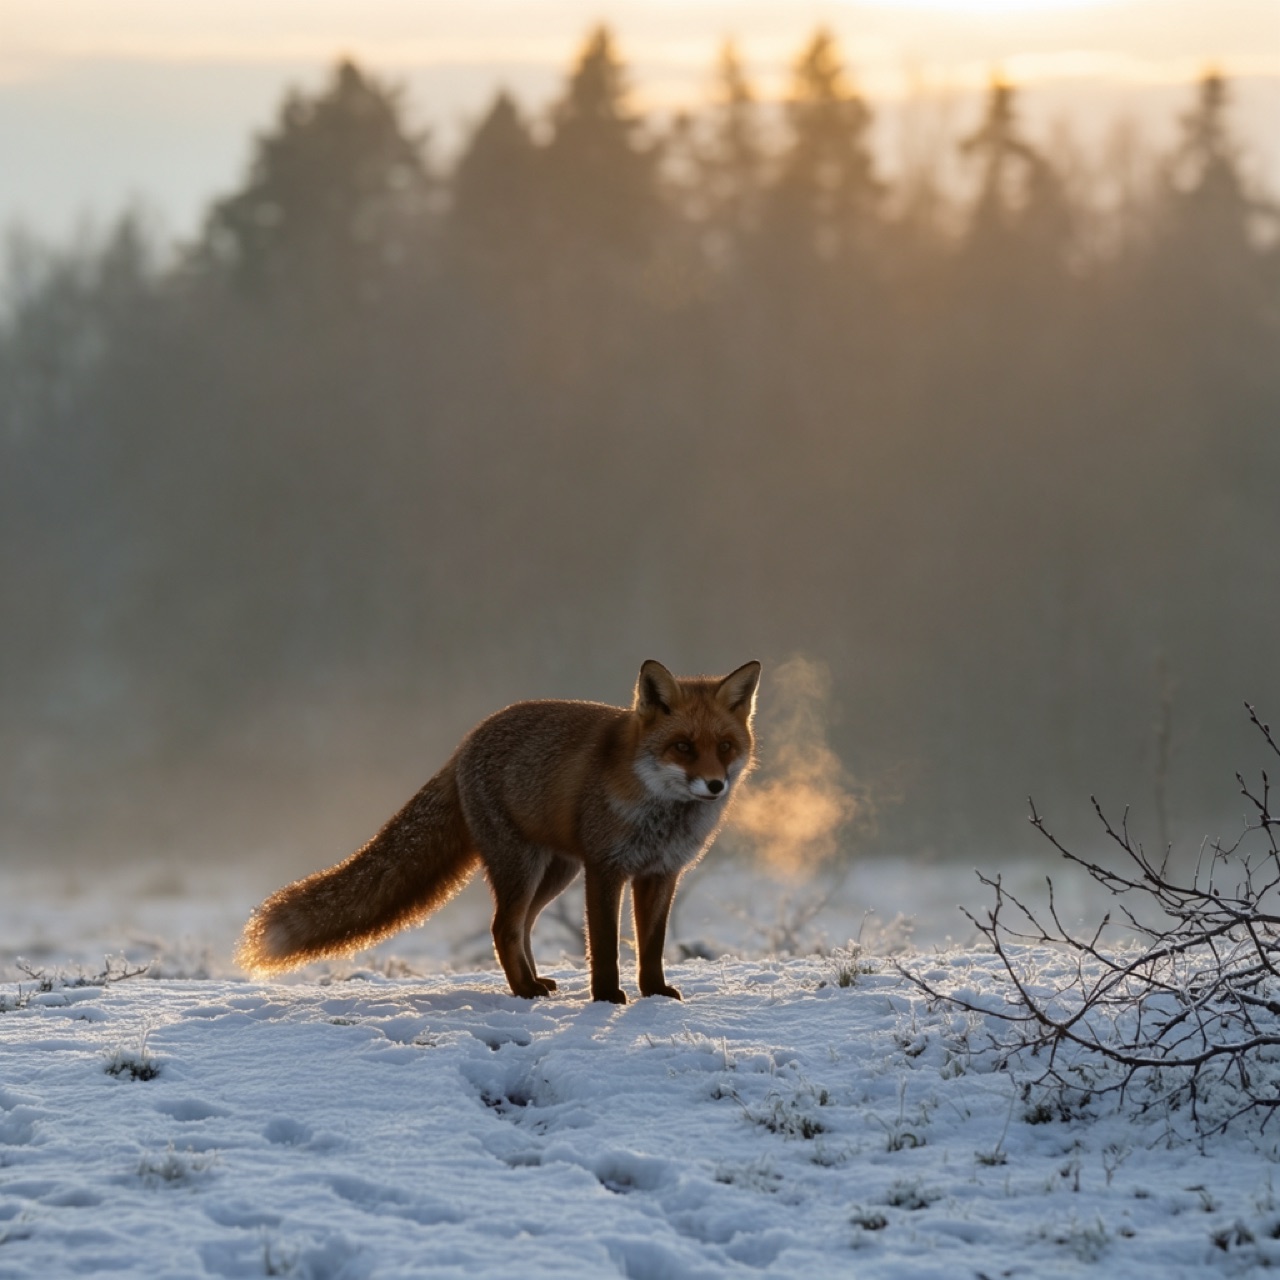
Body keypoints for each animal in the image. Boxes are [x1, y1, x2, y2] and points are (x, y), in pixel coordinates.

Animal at [237, 659, 761, 1002]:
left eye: (725, 746)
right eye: (683, 747)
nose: (715, 785)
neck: (659, 813)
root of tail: (467, 740)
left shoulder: (661, 873)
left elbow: (650, 948)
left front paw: (653, 994)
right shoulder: (605, 869)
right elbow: (606, 947)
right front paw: (607, 997)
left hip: (554, 872)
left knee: (521, 926)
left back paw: (534, 982)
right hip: (525, 867)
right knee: (502, 926)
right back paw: (524, 990)